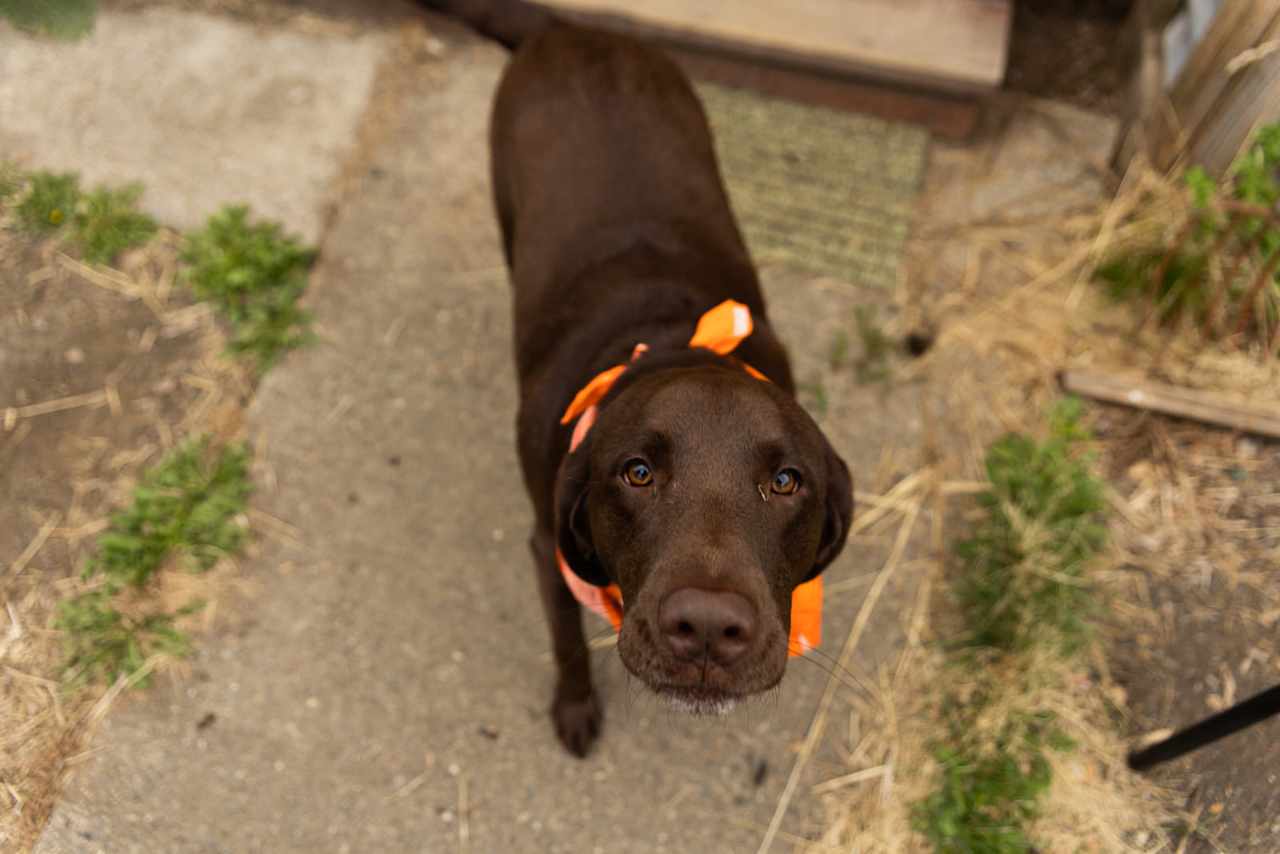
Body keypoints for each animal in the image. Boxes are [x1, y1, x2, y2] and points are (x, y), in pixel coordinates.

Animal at [424, 0, 855, 752]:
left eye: (785, 481)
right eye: (638, 472)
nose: (708, 627)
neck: (676, 340)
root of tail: (575, 29)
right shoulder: (548, 552)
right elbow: (567, 642)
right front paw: (574, 708)